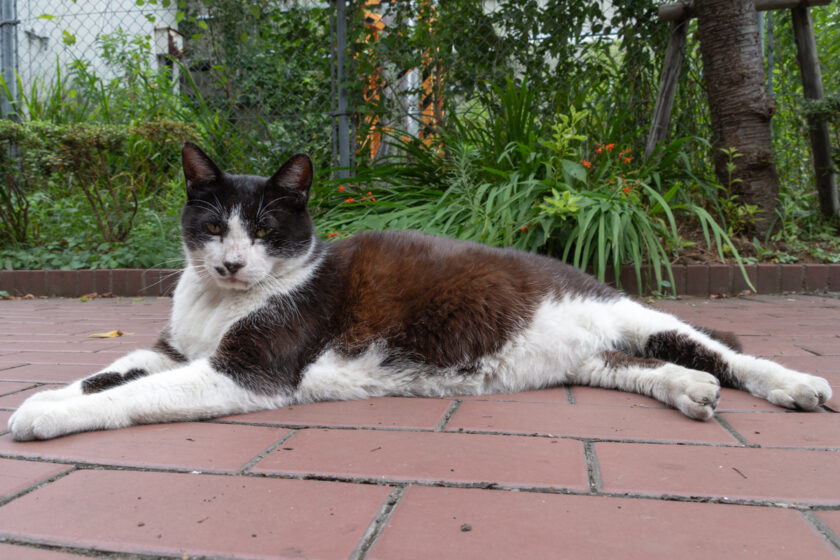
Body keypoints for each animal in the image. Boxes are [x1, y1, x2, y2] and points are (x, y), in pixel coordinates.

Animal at [8, 143, 832, 442]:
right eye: (213, 225)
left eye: (266, 229)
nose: (236, 263)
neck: (218, 307)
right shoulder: (173, 348)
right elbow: (111, 371)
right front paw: (45, 395)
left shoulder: (247, 370)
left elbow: (131, 394)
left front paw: (46, 418)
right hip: (593, 358)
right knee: (653, 364)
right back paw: (688, 391)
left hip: (629, 310)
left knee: (725, 351)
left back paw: (793, 386)